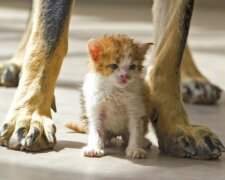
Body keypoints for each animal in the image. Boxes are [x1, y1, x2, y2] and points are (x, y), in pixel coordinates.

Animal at [0, 0, 223, 160]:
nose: (124, 75)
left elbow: (171, 48)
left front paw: (176, 126)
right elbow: (48, 39)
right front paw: (29, 115)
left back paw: (193, 78)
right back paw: (17, 64)